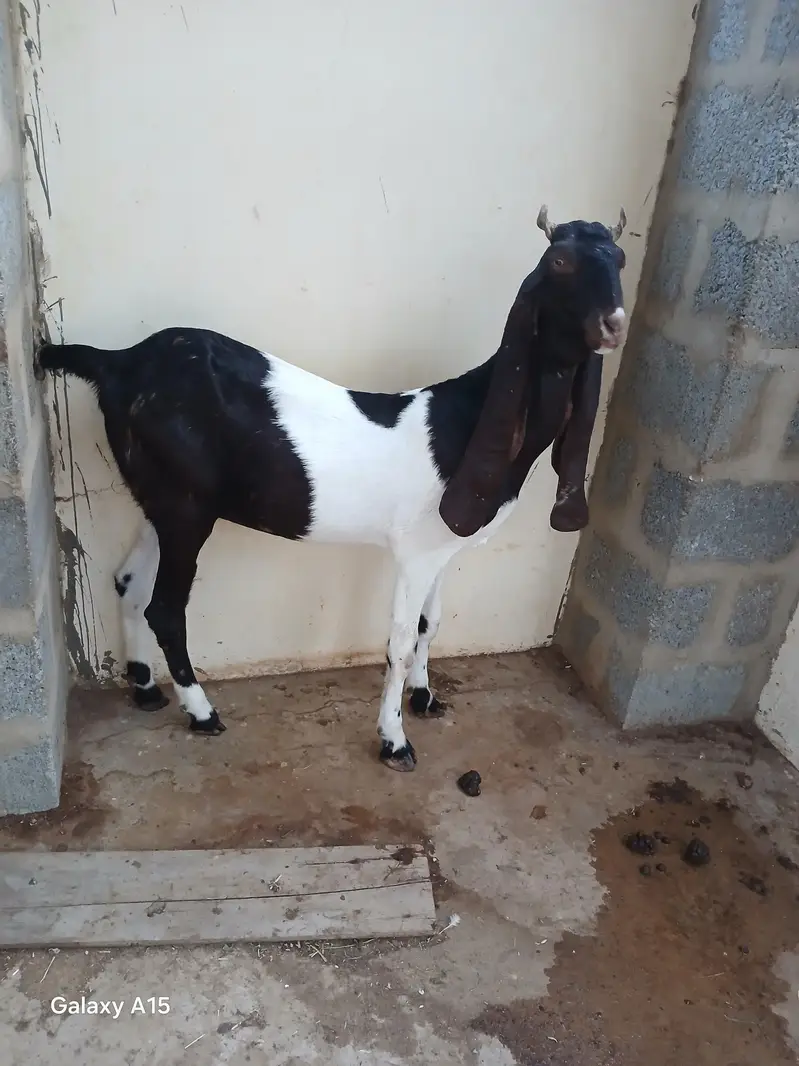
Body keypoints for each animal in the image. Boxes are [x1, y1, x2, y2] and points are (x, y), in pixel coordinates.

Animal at [37, 205, 627, 772]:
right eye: (560, 263)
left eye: (620, 259)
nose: (614, 323)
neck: (467, 419)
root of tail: (118, 362)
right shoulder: (415, 553)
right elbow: (399, 640)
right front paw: (394, 741)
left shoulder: (444, 548)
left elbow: (430, 623)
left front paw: (425, 698)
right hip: (187, 510)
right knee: (163, 607)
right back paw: (202, 713)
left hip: (162, 500)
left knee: (128, 581)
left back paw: (143, 687)